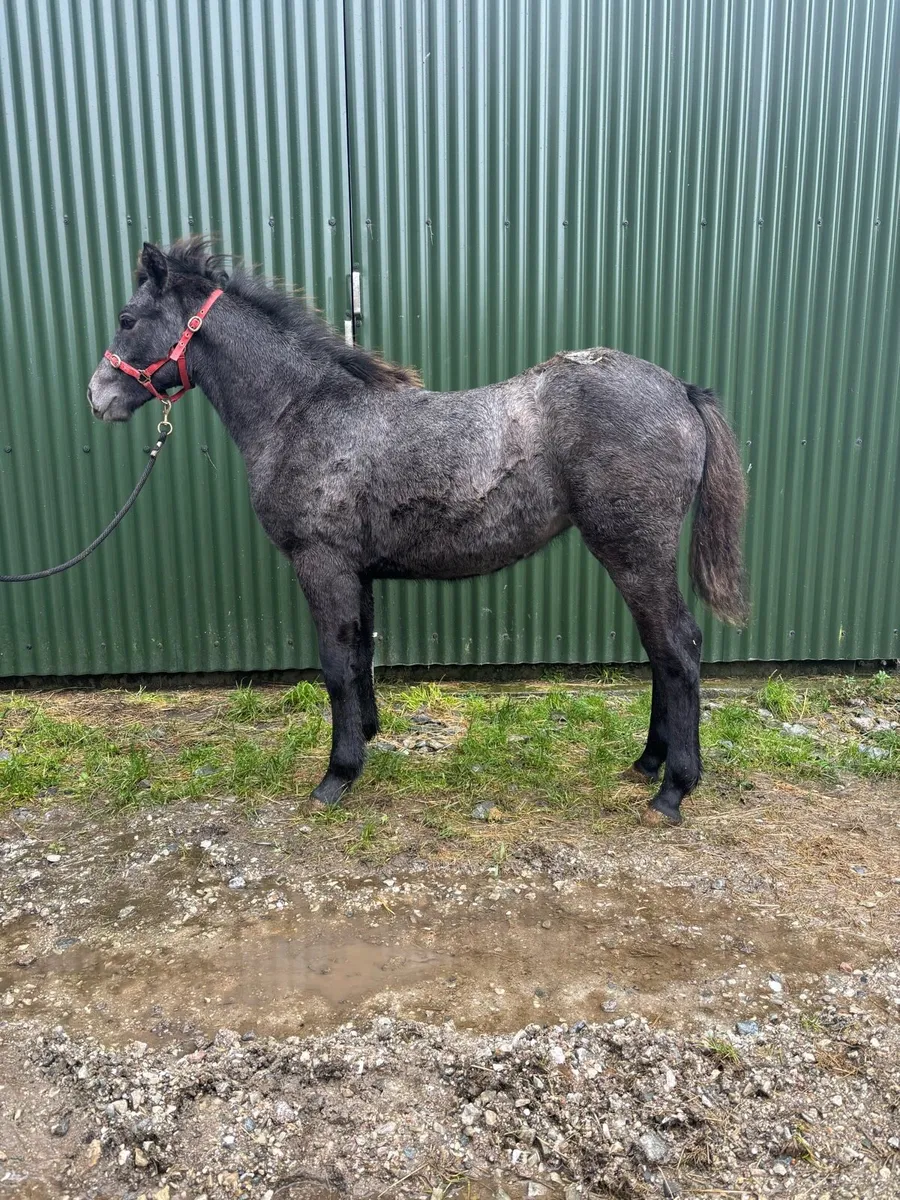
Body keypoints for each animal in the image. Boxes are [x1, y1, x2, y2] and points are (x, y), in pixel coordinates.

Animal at [87, 238, 748, 825]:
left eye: (126, 318)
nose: (97, 397)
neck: (302, 411)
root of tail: (681, 390)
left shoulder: (320, 563)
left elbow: (335, 664)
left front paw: (336, 776)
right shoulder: (356, 572)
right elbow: (359, 656)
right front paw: (365, 740)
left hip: (633, 551)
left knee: (678, 648)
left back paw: (672, 790)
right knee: (661, 651)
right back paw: (646, 764)